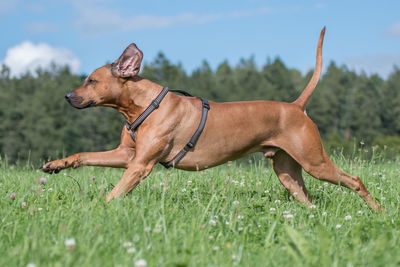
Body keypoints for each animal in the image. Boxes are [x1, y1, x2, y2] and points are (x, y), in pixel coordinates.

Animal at [40, 27, 382, 211]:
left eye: (91, 80)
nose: (67, 96)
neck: (143, 105)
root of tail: (296, 106)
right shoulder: (127, 155)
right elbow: (85, 155)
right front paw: (55, 164)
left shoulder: (140, 165)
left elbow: (115, 192)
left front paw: (100, 207)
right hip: (288, 171)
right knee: (309, 201)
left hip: (315, 161)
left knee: (355, 180)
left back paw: (378, 210)